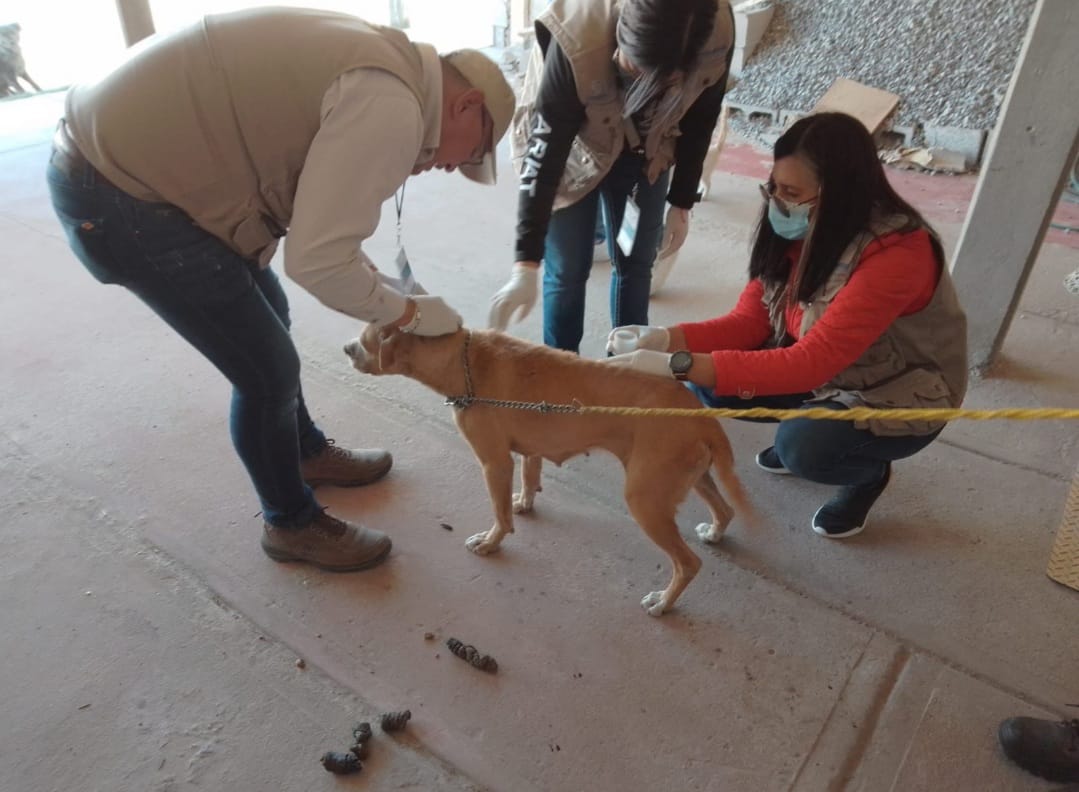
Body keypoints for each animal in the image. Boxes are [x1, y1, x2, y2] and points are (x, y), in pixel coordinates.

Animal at [343, 325, 750, 617]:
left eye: (365, 336)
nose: (345, 348)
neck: (465, 362)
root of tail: (701, 414)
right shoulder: (529, 450)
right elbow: (529, 478)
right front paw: (524, 502)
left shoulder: (494, 463)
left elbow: (500, 514)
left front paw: (491, 542)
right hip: (693, 478)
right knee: (726, 510)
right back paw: (714, 533)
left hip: (646, 500)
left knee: (688, 564)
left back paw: (664, 603)